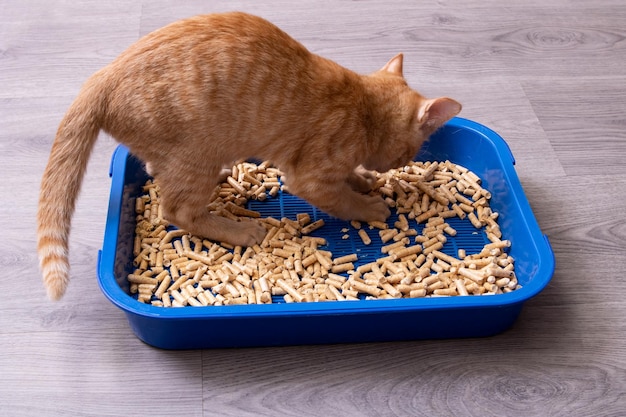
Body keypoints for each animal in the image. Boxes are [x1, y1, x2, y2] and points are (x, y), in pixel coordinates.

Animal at [37, 11, 458, 300]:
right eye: (410, 151)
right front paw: (370, 206)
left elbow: (348, 179)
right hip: (198, 154)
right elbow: (342, 198)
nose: (399, 164)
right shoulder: (309, 177)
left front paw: (364, 179)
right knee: (178, 211)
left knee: (158, 173)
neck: (363, 106)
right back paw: (239, 230)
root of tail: (102, 75)